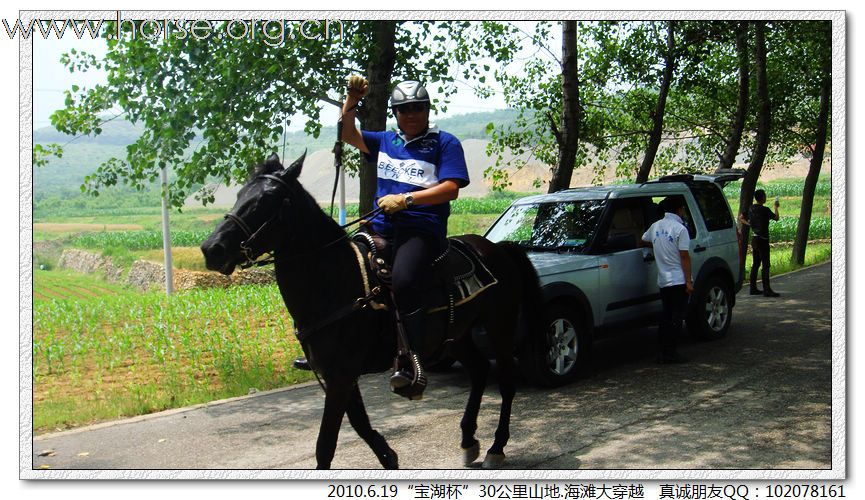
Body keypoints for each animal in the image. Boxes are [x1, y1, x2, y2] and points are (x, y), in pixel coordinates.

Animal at [199, 154, 544, 470]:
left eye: (266, 200)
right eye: (240, 194)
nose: (211, 249)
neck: (336, 280)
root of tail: (498, 249)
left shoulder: (341, 374)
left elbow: (326, 444)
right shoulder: (338, 375)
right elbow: (360, 425)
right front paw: (389, 456)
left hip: (499, 326)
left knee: (506, 382)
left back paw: (496, 447)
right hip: (454, 335)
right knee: (479, 370)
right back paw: (469, 440)